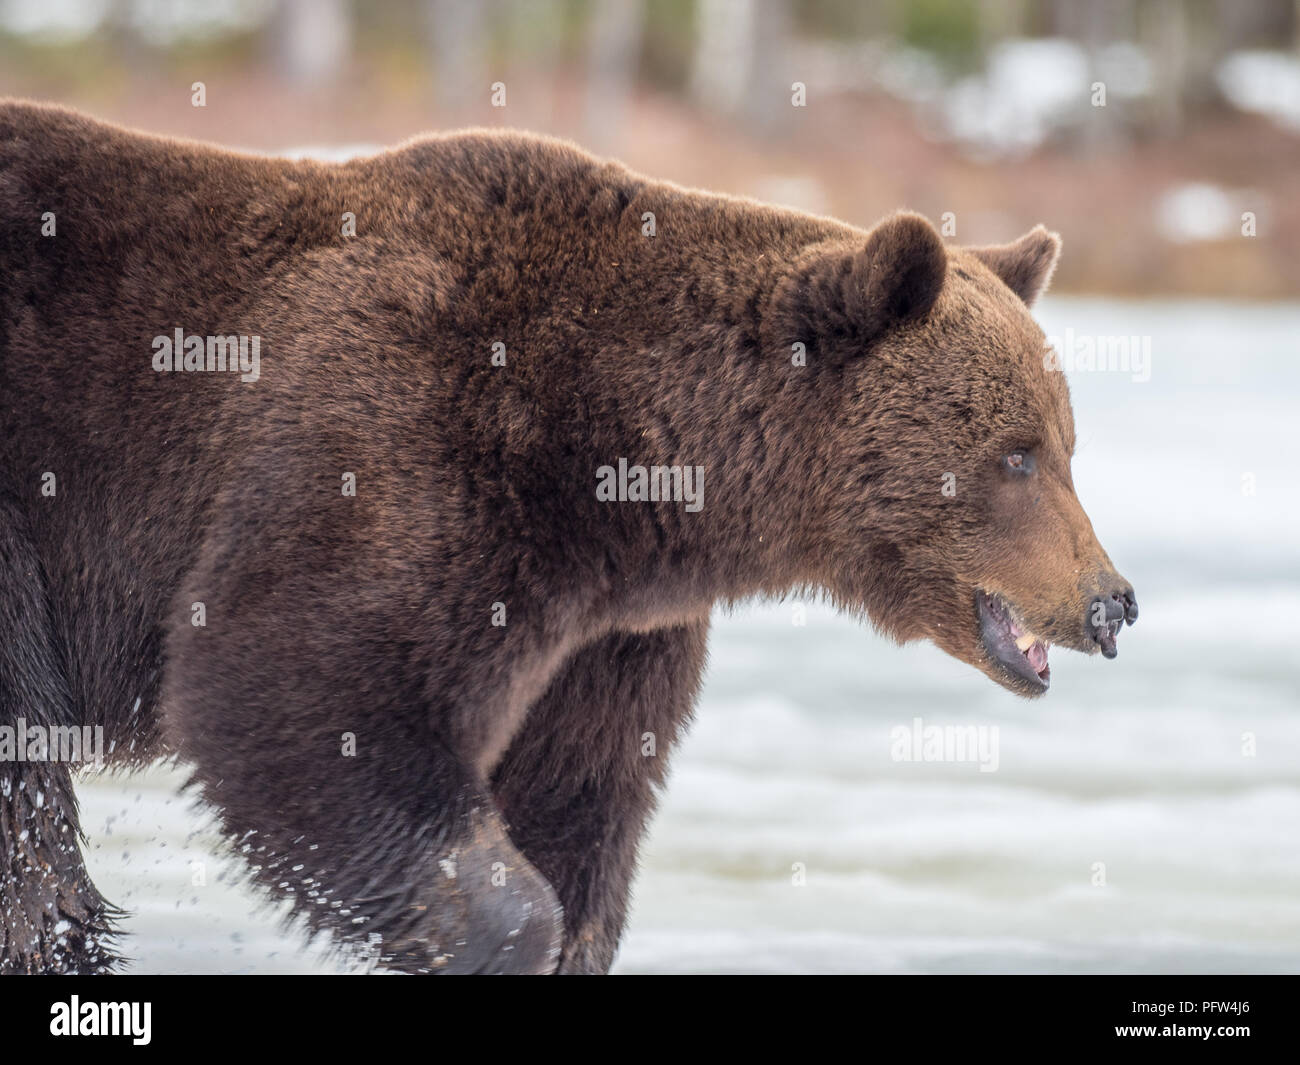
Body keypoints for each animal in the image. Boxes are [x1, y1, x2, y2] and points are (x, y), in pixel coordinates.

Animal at [0, 100, 1137, 975]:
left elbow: (577, 800)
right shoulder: (411, 444)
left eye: (1066, 443)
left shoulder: (604, 628)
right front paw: (496, 933)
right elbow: (298, 684)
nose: (1112, 599)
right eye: (1018, 453)